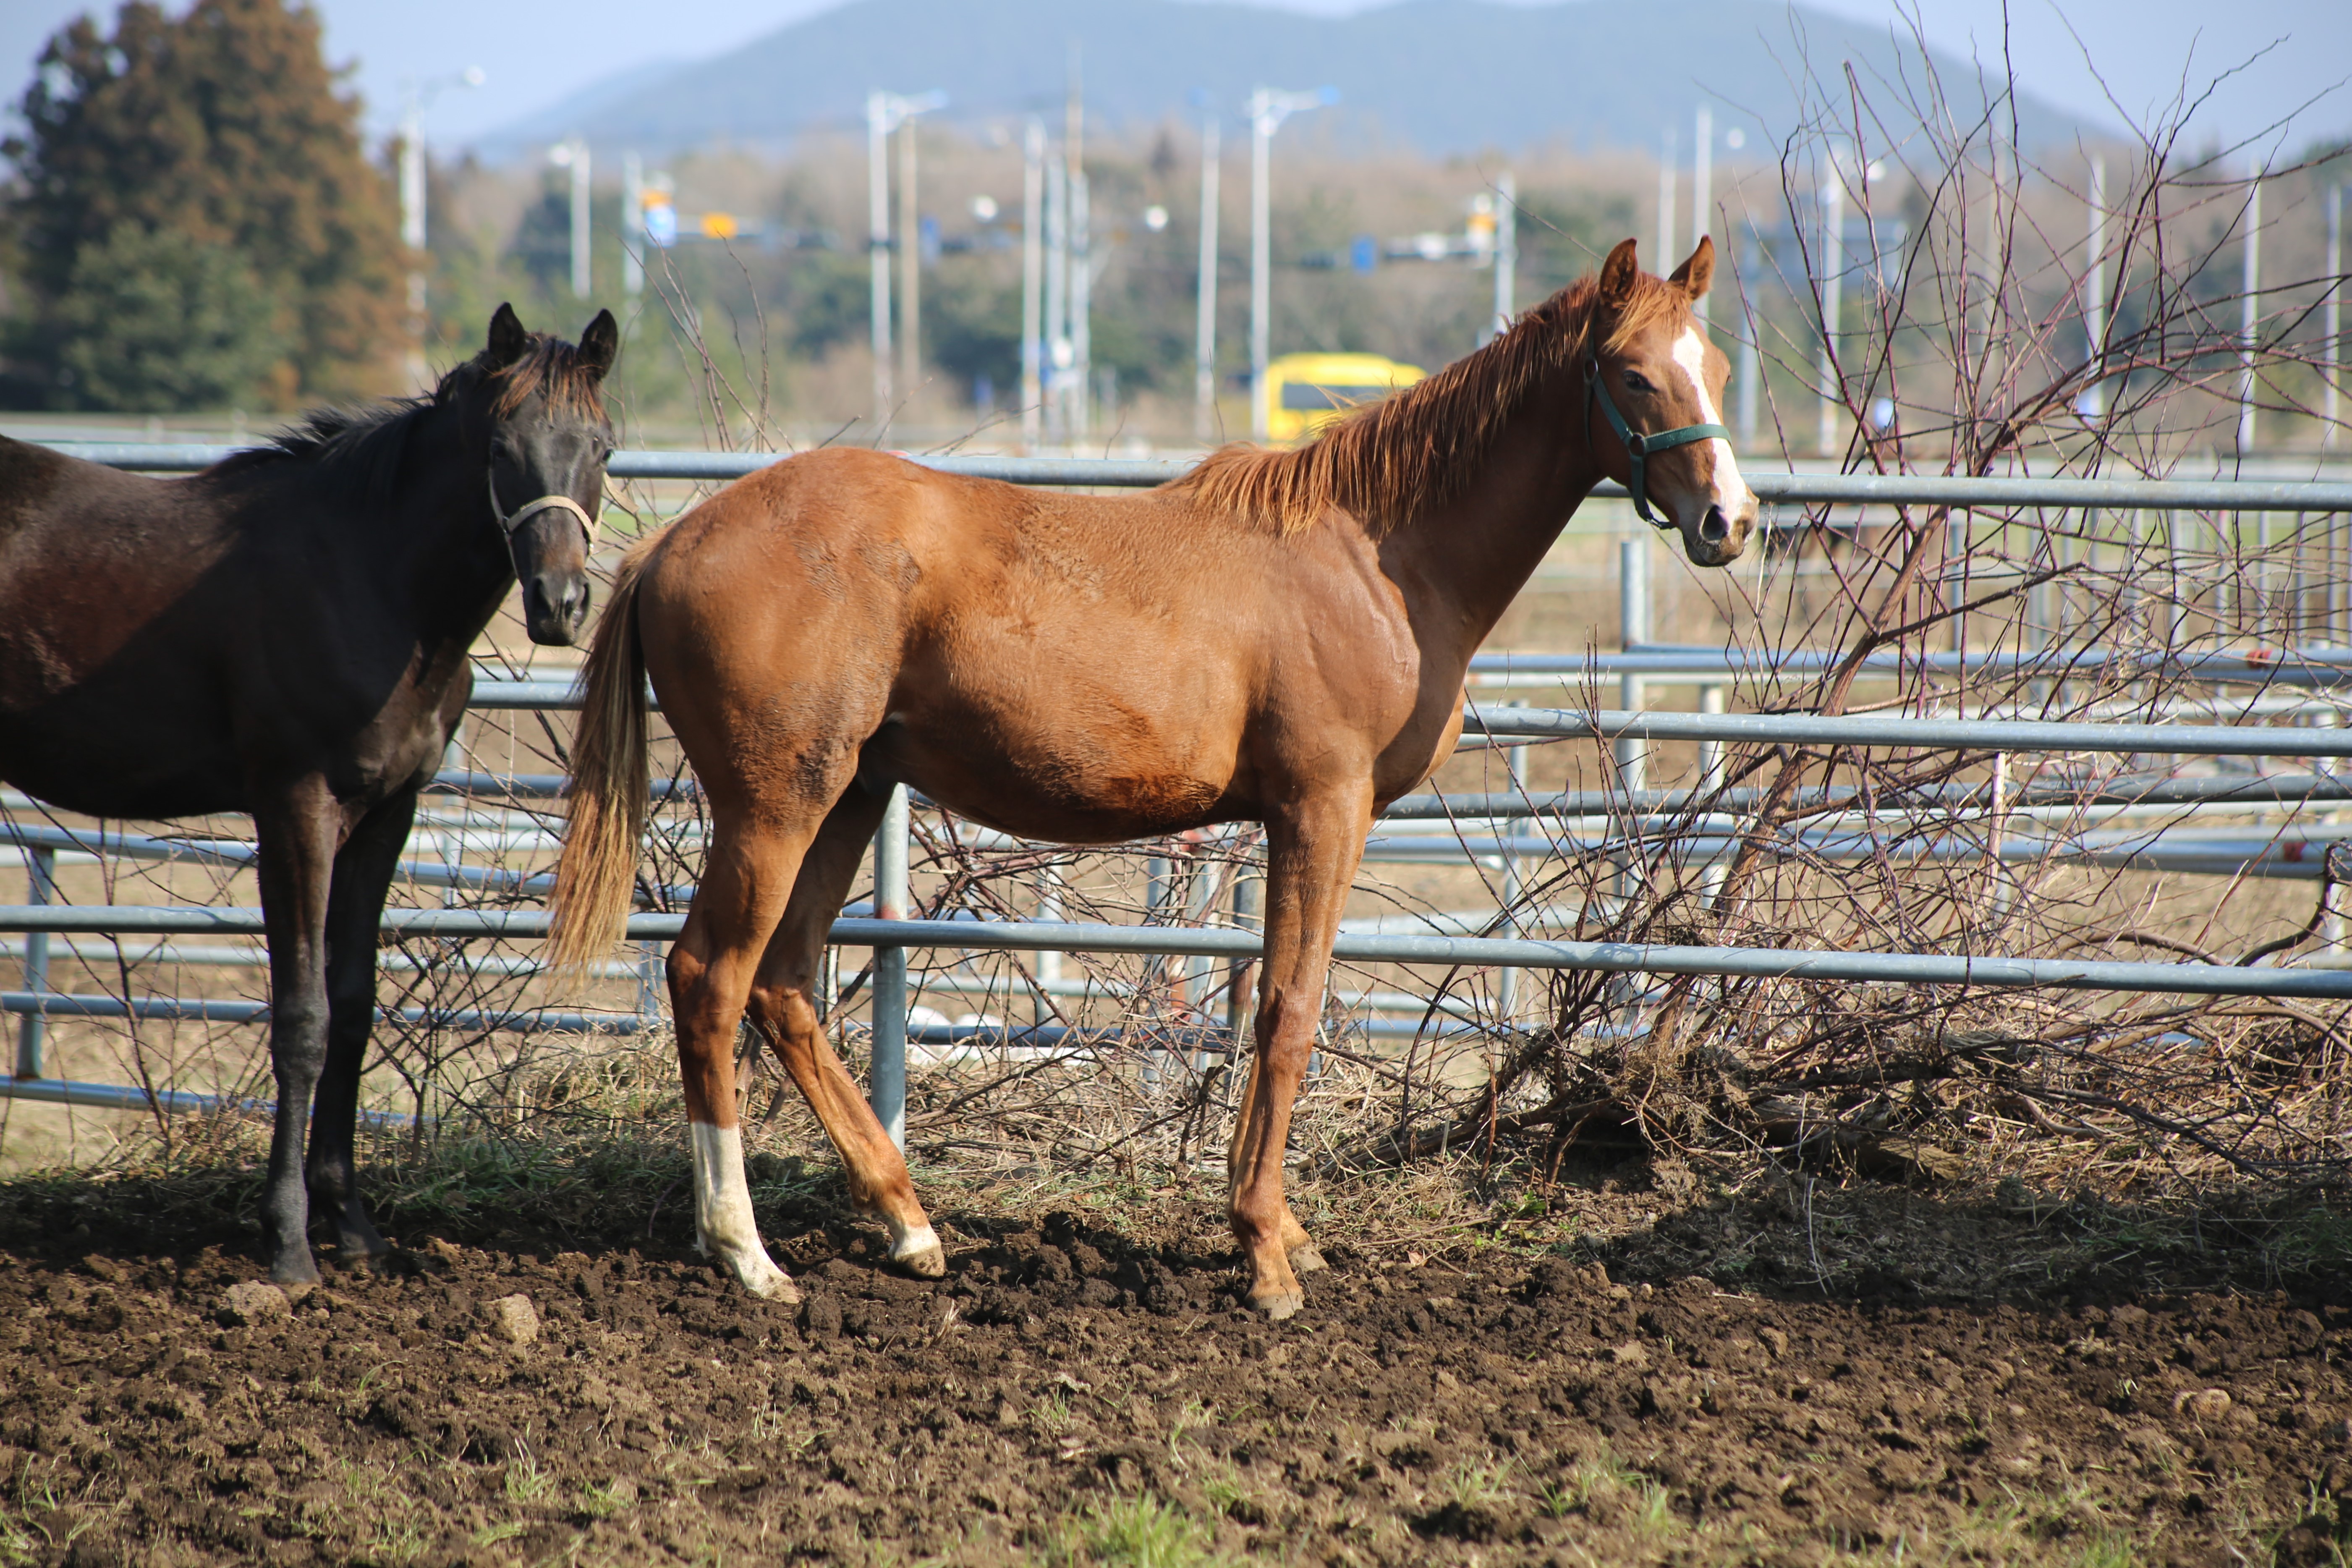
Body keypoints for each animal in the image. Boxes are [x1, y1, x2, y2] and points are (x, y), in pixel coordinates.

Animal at [0, 303, 616, 1288]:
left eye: (599, 446)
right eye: (500, 448)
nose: (558, 604)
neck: (370, 577)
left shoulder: (386, 814)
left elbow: (355, 1006)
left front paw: (353, 1226)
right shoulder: (296, 808)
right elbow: (303, 1018)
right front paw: (289, 1243)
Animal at [550, 240, 1759, 1316]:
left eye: (1715, 364)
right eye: (1634, 372)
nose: (1731, 520)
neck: (1374, 556)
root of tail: (669, 544)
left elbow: (1271, 1003)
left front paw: (1277, 1231)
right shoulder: (1320, 807)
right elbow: (1288, 1007)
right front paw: (1264, 1252)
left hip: (847, 794)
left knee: (785, 984)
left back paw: (906, 1221)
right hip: (774, 805)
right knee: (709, 978)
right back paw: (746, 1252)